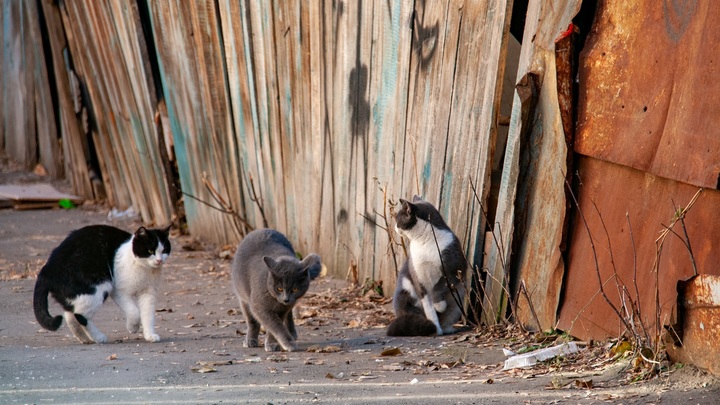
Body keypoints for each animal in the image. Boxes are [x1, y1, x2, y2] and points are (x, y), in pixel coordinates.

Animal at [33, 226, 172, 342]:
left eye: (164, 250)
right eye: (150, 250)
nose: (159, 260)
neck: (143, 267)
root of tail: (47, 268)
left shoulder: (148, 292)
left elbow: (148, 314)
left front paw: (150, 335)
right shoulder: (119, 291)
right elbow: (134, 311)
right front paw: (133, 327)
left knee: (70, 315)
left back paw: (85, 339)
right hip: (98, 287)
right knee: (80, 315)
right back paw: (99, 337)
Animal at [388, 195, 466, 334]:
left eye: (398, 219)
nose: (395, 227)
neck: (423, 240)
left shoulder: (453, 269)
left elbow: (438, 286)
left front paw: (439, 306)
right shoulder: (418, 278)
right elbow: (429, 309)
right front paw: (435, 329)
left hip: (458, 299)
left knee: (448, 314)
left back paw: (447, 328)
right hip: (404, 292)